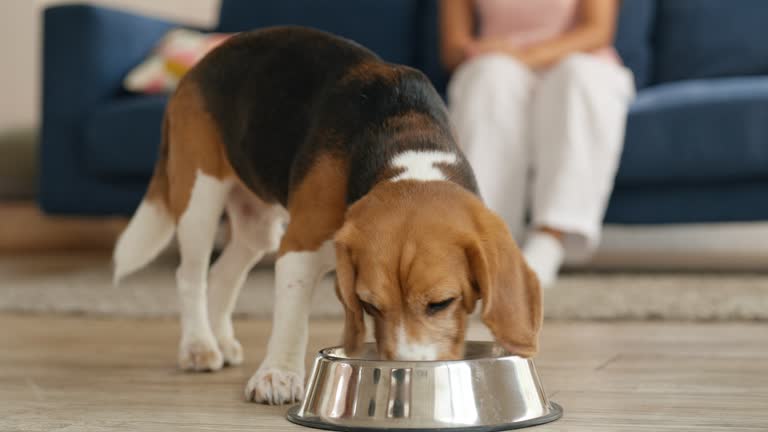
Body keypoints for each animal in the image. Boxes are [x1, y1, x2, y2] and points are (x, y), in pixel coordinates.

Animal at [114, 26, 540, 404]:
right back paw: (199, 346)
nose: (407, 370)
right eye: (370, 305)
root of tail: (200, 64)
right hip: (200, 195)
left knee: (221, 274)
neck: (406, 141)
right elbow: (291, 317)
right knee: (191, 275)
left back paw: (220, 339)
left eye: (441, 304)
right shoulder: (299, 245)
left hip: (257, 226)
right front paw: (278, 375)